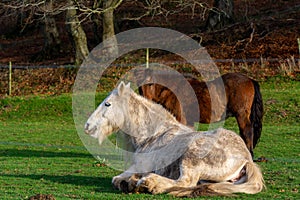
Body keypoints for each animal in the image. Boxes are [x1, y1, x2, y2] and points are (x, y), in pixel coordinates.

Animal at [84, 81, 264, 197]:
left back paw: (151, 183)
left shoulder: (140, 165)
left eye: (107, 104)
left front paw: (132, 182)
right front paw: (131, 182)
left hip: (190, 158)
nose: (87, 126)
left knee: (186, 182)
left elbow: (116, 179)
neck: (152, 135)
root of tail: (246, 159)